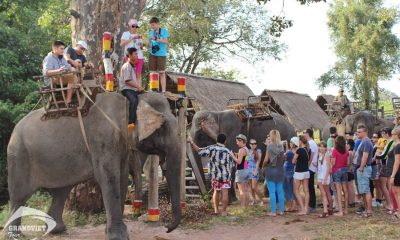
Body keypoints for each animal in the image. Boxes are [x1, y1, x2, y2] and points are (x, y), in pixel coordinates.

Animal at [5, 91, 181, 239]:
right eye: (163, 127)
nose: (167, 229)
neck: (128, 101)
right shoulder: (103, 139)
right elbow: (109, 177)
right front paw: (118, 236)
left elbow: (122, 177)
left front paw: (113, 233)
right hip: (18, 156)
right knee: (19, 196)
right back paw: (14, 236)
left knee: (61, 192)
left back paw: (57, 230)